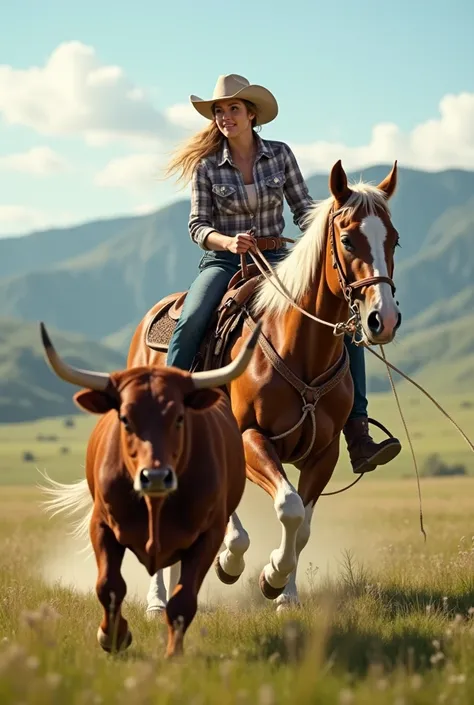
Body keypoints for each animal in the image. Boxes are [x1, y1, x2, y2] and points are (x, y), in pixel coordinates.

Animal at [39, 320, 262, 656]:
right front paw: (112, 637)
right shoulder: (101, 524)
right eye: (125, 419)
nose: (155, 477)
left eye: (180, 417)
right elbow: (109, 585)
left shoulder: (209, 534)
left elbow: (184, 599)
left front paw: (173, 653)